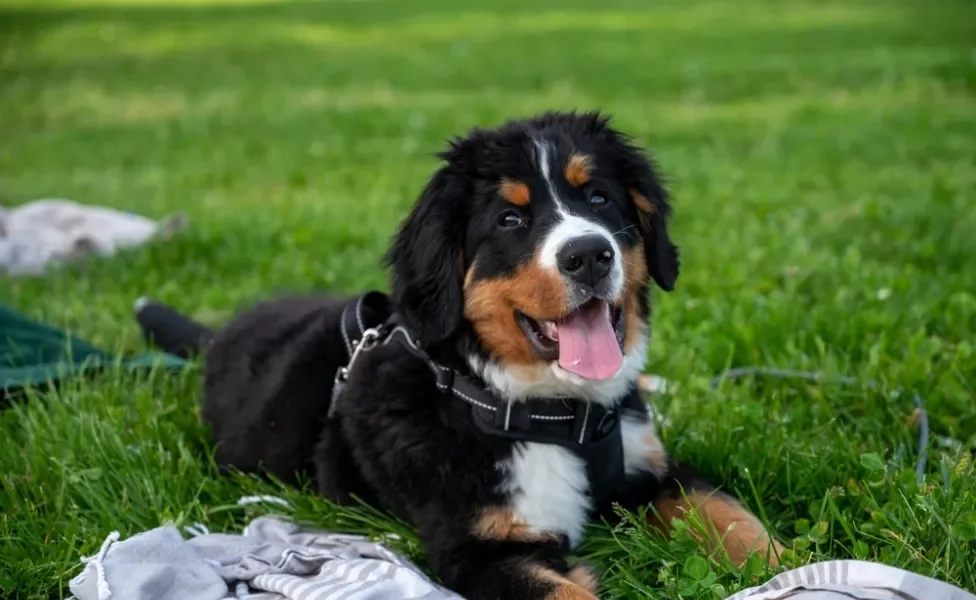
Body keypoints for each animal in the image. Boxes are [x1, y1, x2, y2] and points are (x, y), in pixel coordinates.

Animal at [162, 110, 784, 596]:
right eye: (510, 219)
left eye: (599, 197)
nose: (588, 254)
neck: (556, 416)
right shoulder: (477, 548)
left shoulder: (651, 468)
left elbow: (728, 515)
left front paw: (786, 567)